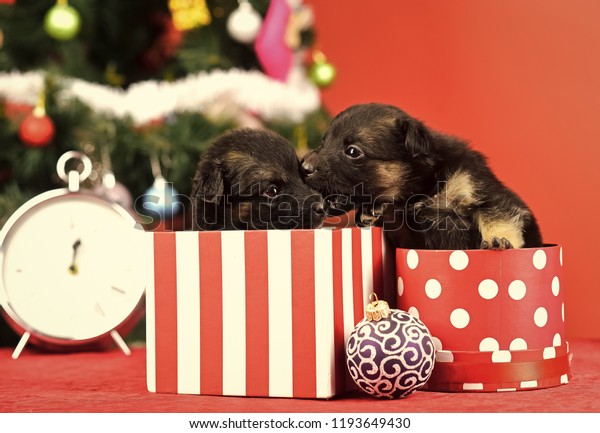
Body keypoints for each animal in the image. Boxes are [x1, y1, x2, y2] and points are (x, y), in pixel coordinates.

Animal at [302, 102, 540, 248]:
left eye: (353, 151)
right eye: (323, 141)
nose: (303, 167)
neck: (425, 187)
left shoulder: (482, 190)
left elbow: (497, 216)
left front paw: (500, 241)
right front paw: (372, 209)